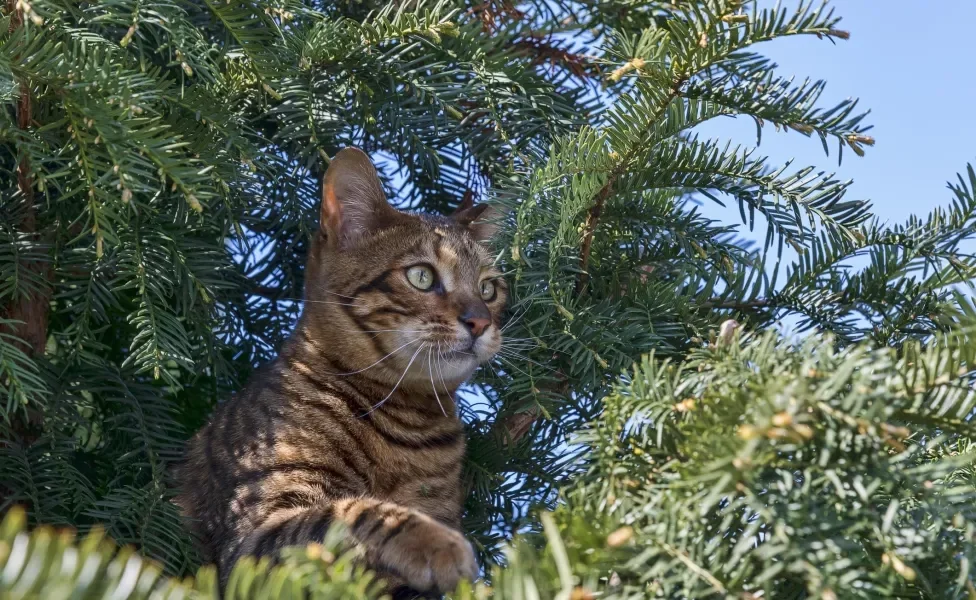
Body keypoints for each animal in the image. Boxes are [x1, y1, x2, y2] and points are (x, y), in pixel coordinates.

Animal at [175, 149, 508, 596]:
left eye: (489, 289)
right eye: (422, 276)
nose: (479, 321)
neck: (406, 424)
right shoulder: (257, 529)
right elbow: (352, 514)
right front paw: (436, 543)